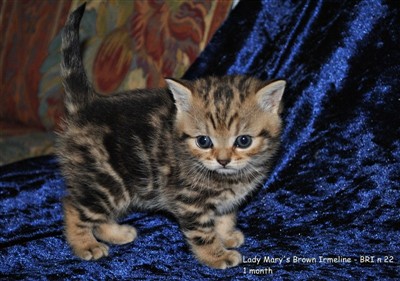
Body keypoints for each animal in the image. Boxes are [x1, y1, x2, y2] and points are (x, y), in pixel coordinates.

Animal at [57, 2, 286, 270]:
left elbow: (224, 217)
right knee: (74, 206)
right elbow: (202, 233)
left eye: (243, 141)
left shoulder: (225, 202)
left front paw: (227, 235)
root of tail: (87, 105)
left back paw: (116, 233)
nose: (223, 160)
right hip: (105, 182)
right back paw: (85, 245)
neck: (230, 178)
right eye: (203, 141)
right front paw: (217, 255)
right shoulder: (190, 201)